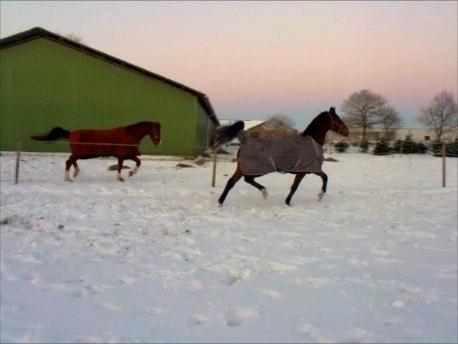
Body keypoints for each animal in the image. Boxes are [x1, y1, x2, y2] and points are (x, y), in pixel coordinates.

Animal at [30, 121, 161, 181]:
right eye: (156, 130)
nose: (158, 142)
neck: (129, 135)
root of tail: (71, 133)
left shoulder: (128, 155)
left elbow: (138, 162)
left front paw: (130, 173)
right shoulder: (123, 156)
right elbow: (121, 166)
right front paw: (122, 177)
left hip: (80, 154)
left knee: (72, 160)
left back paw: (75, 173)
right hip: (81, 154)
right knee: (69, 161)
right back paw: (68, 178)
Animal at [218, 106, 350, 206]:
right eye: (338, 119)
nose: (347, 132)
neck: (311, 142)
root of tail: (245, 140)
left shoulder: (307, 170)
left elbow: (320, 179)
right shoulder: (307, 170)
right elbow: (306, 183)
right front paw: (318, 196)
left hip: (245, 168)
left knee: (235, 181)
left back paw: (222, 202)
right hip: (257, 169)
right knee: (244, 180)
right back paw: (263, 192)